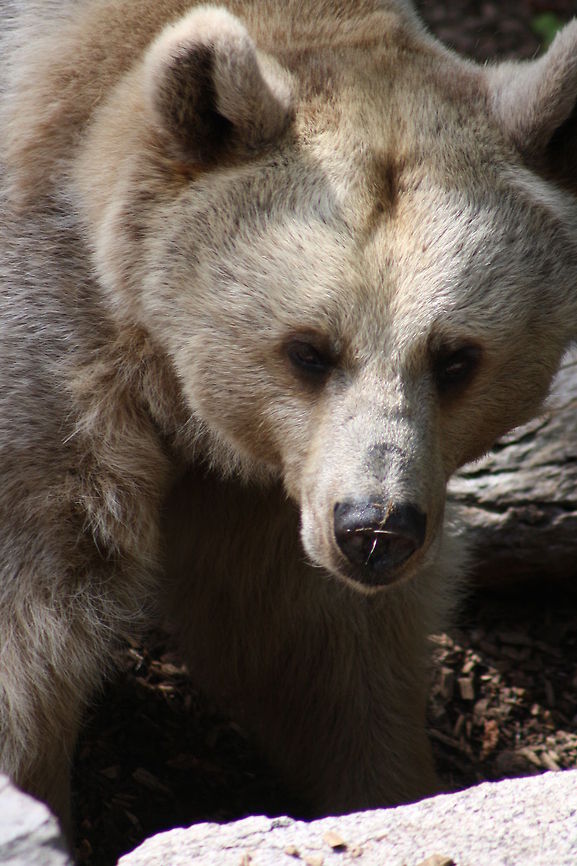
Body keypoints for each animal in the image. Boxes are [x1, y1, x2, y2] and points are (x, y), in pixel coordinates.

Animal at [1, 0, 577, 836]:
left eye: (454, 357)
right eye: (308, 348)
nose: (376, 531)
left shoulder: (288, 483)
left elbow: (310, 642)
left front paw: (389, 787)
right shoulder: (53, 359)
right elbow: (31, 614)